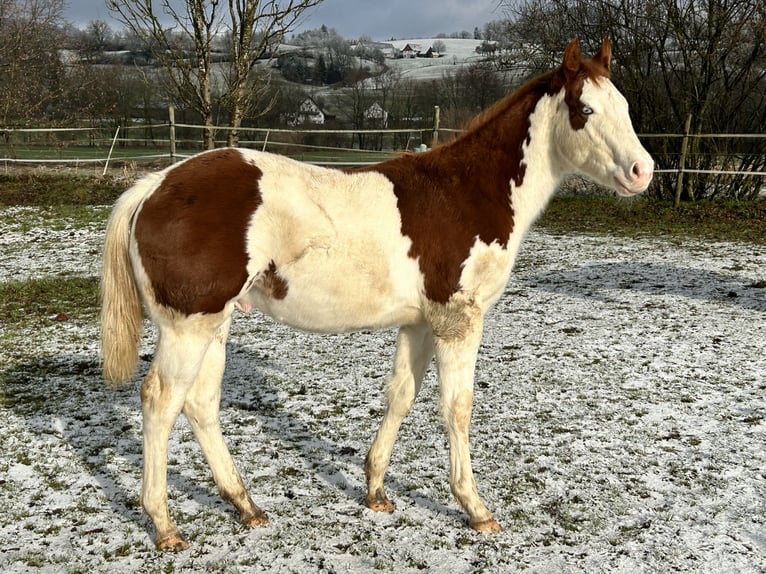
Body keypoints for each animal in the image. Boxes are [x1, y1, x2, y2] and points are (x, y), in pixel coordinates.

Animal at [100, 38, 656, 552]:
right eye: (585, 110)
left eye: (626, 107)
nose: (642, 172)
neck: (468, 192)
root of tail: (152, 186)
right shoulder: (458, 319)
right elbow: (457, 408)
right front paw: (475, 509)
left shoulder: (420, 322)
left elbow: (401, 395)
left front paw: (375, 492)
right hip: (188, 327)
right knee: (161, 401)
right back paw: (165, 525)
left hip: (215, 323)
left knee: (200, 404)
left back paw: (245, 506)